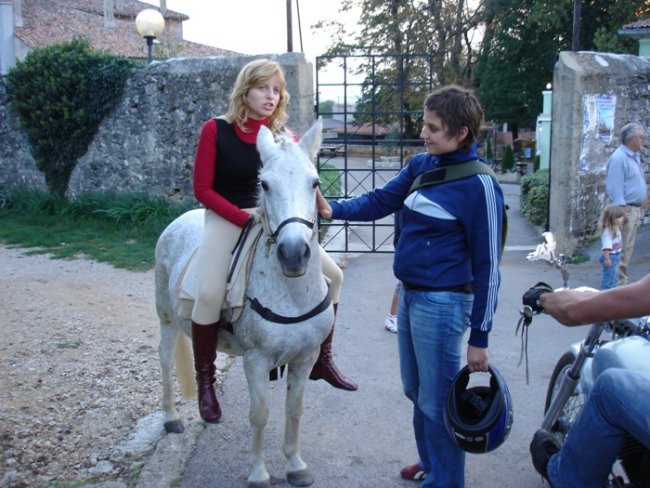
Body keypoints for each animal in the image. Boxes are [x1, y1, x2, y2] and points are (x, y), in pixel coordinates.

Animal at [154, 119, 332, 488]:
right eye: (264, 184)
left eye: (315, 183)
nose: (294, 254)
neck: (291, 293)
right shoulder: (256, 360)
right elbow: (260, 415)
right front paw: (259, 473)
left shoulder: (306, 357)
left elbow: (294, 410)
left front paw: (295, 465)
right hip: (165, 318)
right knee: (165, 360)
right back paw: (171, 417)